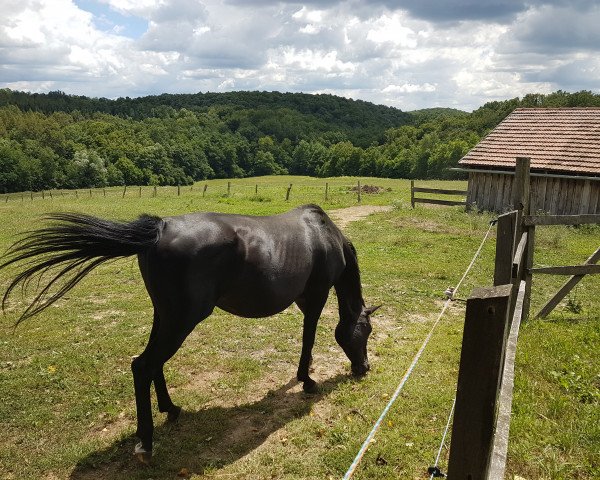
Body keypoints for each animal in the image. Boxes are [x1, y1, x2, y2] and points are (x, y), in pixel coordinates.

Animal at [0, 204, 378, 464]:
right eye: (367, 331)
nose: (364, 369)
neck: (323, 235)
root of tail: (160, 228)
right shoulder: (315, 299)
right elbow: (308, 338)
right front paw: (307, 380)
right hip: (182, 320)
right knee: (143, 365)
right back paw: (146, 443)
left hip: (167, 316)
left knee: (150, 364)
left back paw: (170, 408)